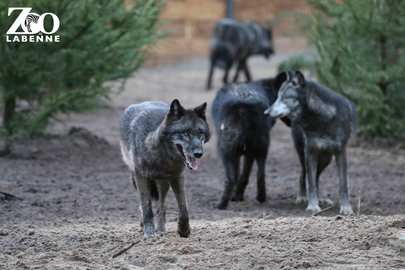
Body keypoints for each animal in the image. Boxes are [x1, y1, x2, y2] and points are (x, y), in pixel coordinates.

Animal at [119, 99, 208, 238]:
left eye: (200, 134)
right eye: (186, 133)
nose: (199, 154)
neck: (163, 157)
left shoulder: (177, 176)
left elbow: (183, 207)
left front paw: (184, 230)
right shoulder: (141, 177)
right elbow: (146, 206)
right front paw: (149, 232)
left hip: (163, 184)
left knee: (162, 206)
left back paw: (161, 230)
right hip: (136, 179)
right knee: (145, 205)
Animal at [211, 78, 288, 209]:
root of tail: (243, 104)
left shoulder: (239, 155)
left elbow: (237, 174)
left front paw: (234, 197)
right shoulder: (248, 154)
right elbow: (244, 175)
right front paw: (238, 196)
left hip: (226, 152)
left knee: (230, 179)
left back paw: (222, 204)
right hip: (262, 150)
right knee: (260, 175)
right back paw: (261, 198)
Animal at [264, 70, 356, 214]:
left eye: (285, 98)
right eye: (277, 97)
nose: (266, 112)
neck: (322, 119)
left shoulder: (340, 152)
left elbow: (343, 184)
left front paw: (346, 208)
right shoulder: (310, 151)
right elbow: (311, 183)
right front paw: (313, 206)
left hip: (326, 159)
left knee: (317, 177)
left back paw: (321, 198)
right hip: (304, 155)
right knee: (305, 175)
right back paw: (302, 197)